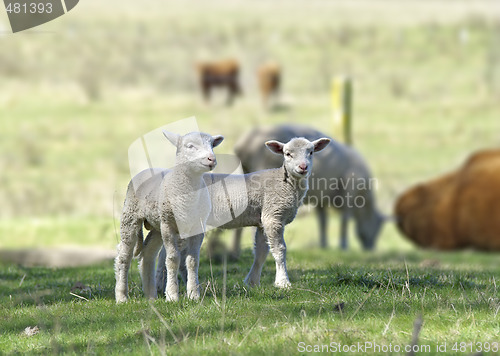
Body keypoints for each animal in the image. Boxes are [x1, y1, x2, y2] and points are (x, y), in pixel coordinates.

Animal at [114, 131, 224, 304]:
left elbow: (192, 261)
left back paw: (151, 296)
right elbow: (172, 259)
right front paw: (172, 295)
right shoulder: (169, 226)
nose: (211, 159)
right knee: (123, 256)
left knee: (147, 254)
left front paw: (194, 294)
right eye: (190, 146)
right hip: (131, 216)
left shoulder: (197, 227)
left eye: (212, 145)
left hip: (157, 226)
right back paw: (121, 296)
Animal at [154, 136, 330, 292]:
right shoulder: (273, 216)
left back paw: (160, 286)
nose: (303, 167)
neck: (286, 183)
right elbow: (280, 250)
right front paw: (283, 282)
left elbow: (261, 252)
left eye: (311, 152)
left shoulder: (262, 220)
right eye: (287, 154)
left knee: (164, 253)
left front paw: (252, 282)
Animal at [232, 125, 384, 253]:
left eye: (311, 152)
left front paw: (324, 245)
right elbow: (345, 220)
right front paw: (343, 246)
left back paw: (236, 252)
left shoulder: (322, 196)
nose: (370, 248)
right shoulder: (349, 190)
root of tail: (246, 142)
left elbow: (323, 220)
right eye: (377, 227)